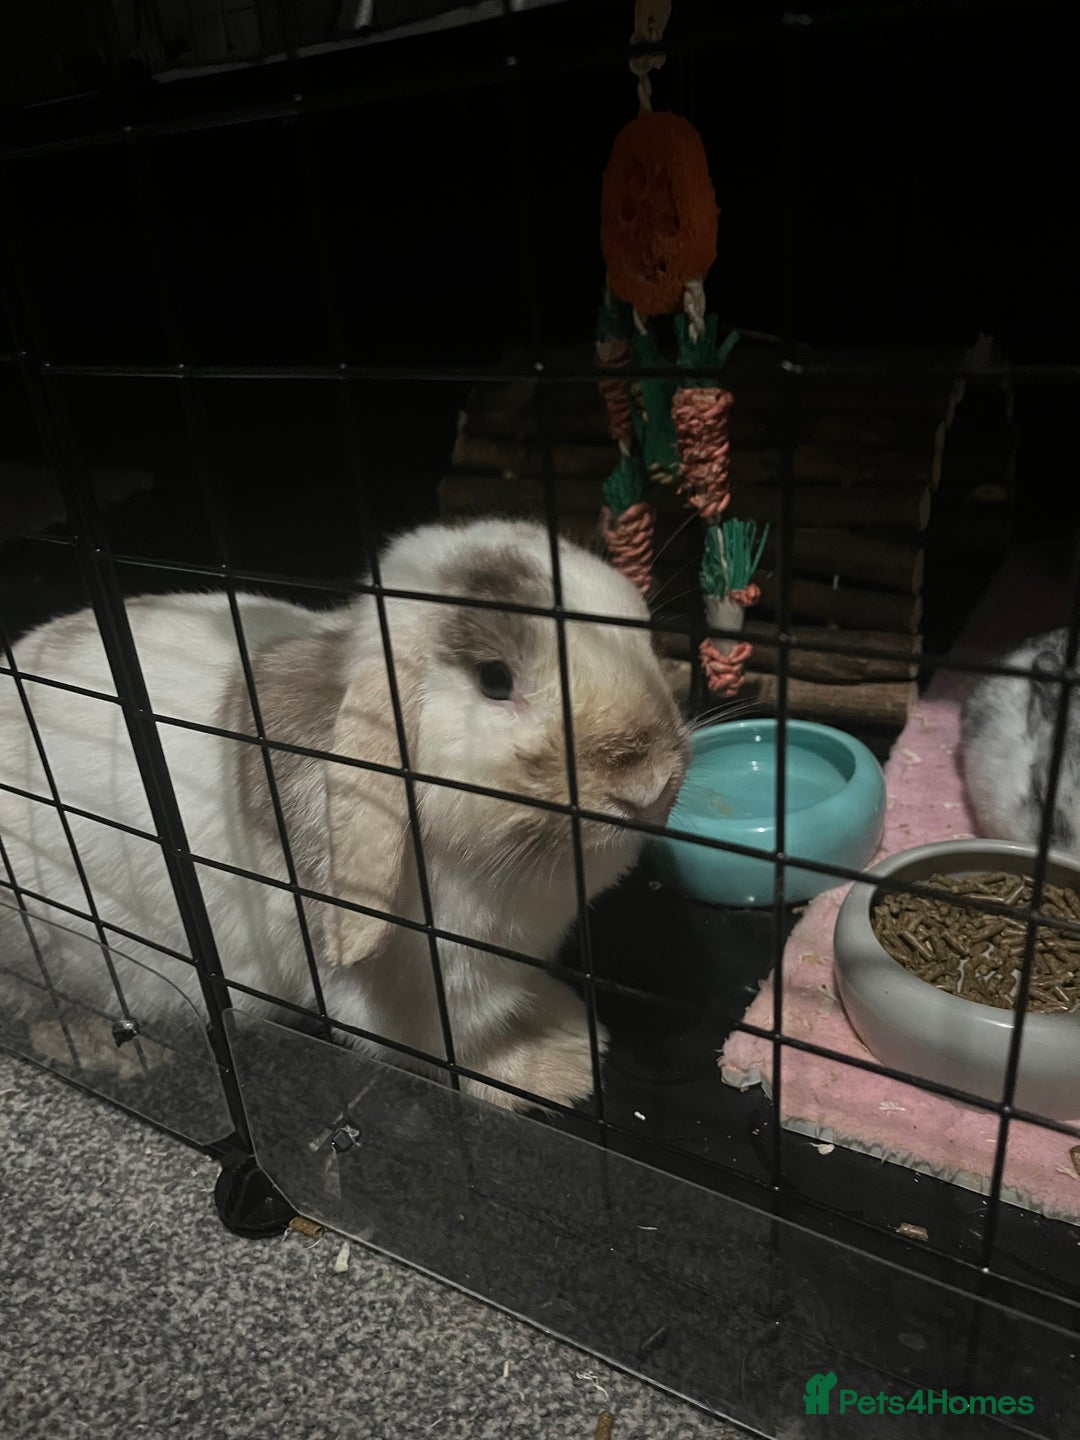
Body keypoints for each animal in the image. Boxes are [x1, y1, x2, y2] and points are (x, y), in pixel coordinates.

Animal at [0, 517, 690, 1111]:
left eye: (645, 633)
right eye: (494, 679)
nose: (651, 784)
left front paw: (576, 1033)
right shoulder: (428, 991)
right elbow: (466, 1050)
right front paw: (554, 1074)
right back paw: (113, 1051)